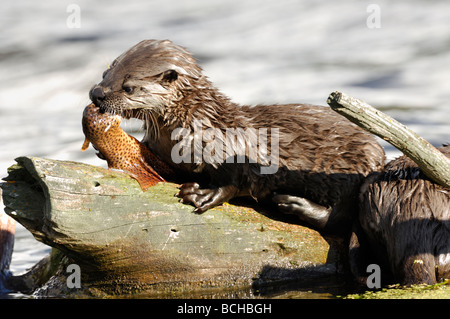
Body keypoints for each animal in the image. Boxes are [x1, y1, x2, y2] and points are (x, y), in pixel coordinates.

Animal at [89, 40, 384, 235]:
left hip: (353, 172)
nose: (96, 93)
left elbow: (234, 178)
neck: (192, 126)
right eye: (105, 74)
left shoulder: (229, 148)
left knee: (340, 218)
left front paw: (203, 194)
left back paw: (292, 203)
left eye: (128, 87)